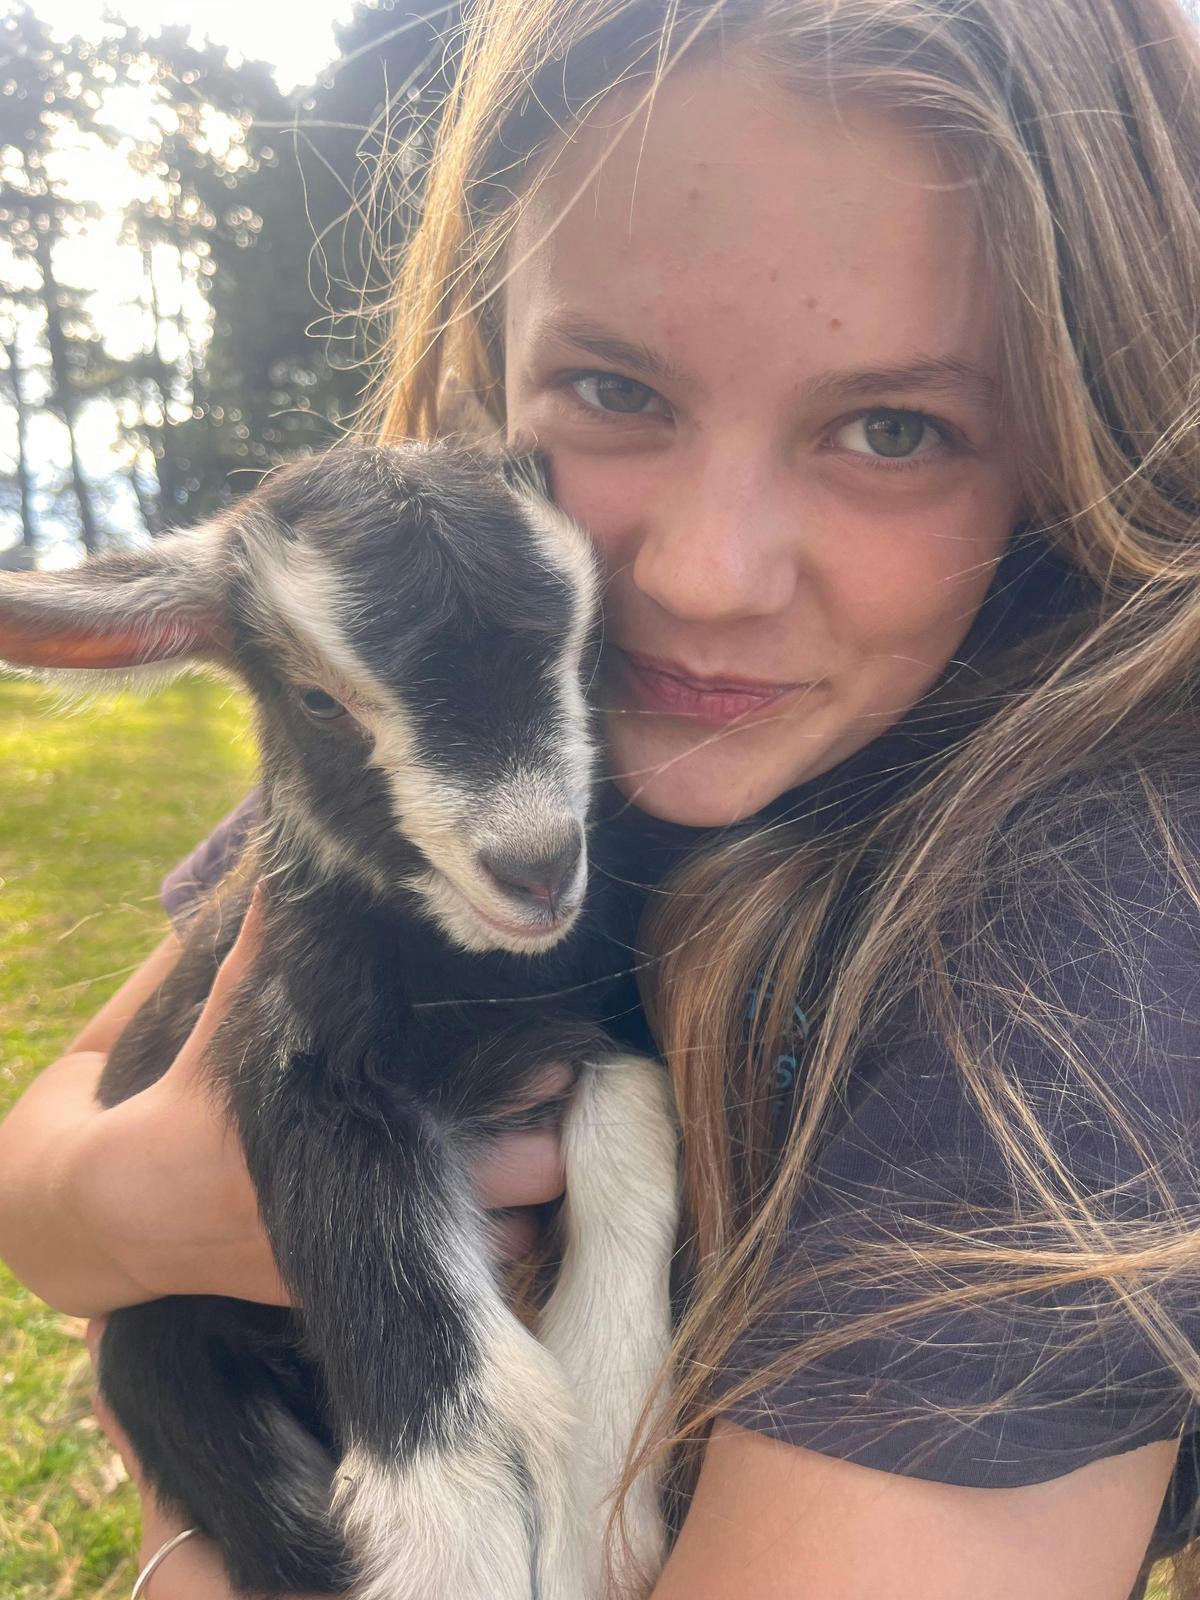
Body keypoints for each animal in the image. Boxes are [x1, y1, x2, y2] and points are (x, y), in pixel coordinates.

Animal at [0, 442, 680, 1600]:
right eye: (318, 700)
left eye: (588, 651)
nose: (537, 867)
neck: (471, 984)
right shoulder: (296, 1043)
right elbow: (356, 1207)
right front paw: (460, 1535)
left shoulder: (596, 1021)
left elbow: (633, 1129)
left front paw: (601, 1489)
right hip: (150, 1353)